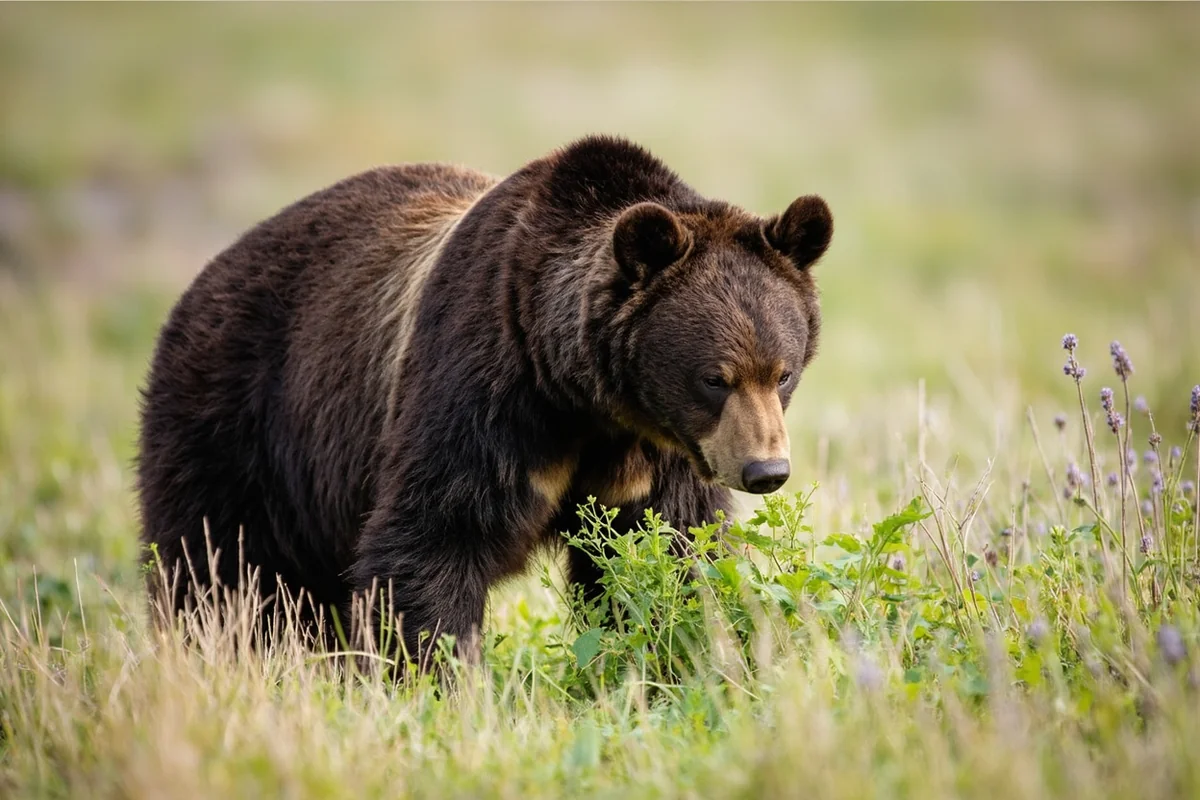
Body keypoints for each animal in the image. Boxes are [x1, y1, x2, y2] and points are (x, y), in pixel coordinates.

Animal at [136, 135, 833, 664]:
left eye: (782, 373)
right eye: (714, 378)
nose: (766, 469)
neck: (581, 395)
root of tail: (201, 280)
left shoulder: (653, 455)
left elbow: (668, 551)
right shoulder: (482, 393)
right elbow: (431, 543)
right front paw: (437, 679)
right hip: (240, 426)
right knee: (220, 571)